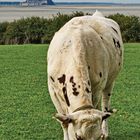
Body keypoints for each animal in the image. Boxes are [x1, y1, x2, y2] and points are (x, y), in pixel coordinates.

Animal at [47, 10, 123, 139]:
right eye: (78, 137)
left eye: (98, 137)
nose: (102, 135)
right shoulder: (53, 90)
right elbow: (64, 122)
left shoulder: (97, 88)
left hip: (110, 82)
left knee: (105, 105)